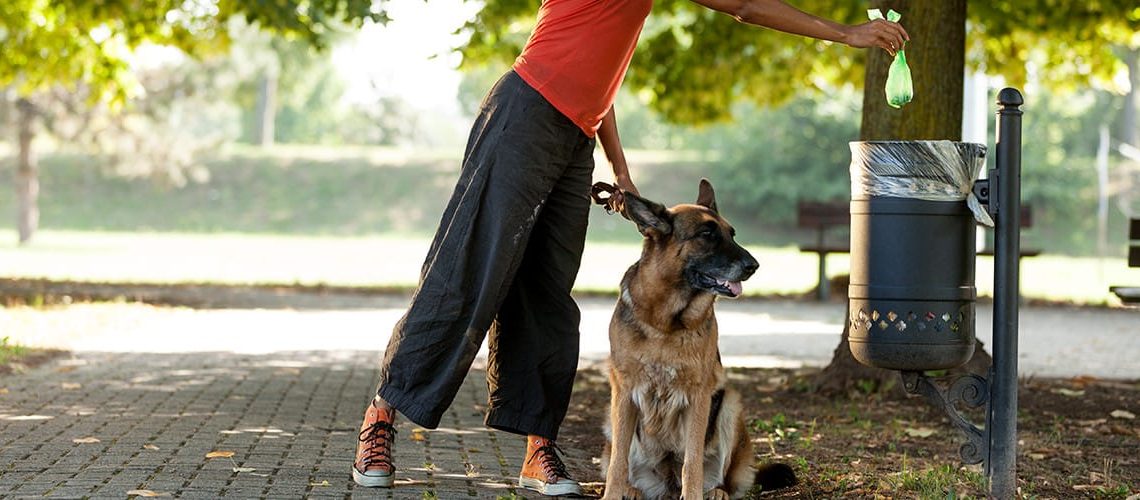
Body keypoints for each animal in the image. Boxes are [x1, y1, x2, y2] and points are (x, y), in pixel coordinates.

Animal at [601, 181, 798, 500]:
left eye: (731, 234)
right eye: (707, 235)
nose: (754, 265)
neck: (665, 323)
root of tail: (667, 485)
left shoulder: (698, 397)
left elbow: (692, 463)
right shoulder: (624, 392)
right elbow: (617, 462)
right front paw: (612, 493)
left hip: (730, 404)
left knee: (720, 477)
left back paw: (717, 491)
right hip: (611, 416)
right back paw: (633, 490)